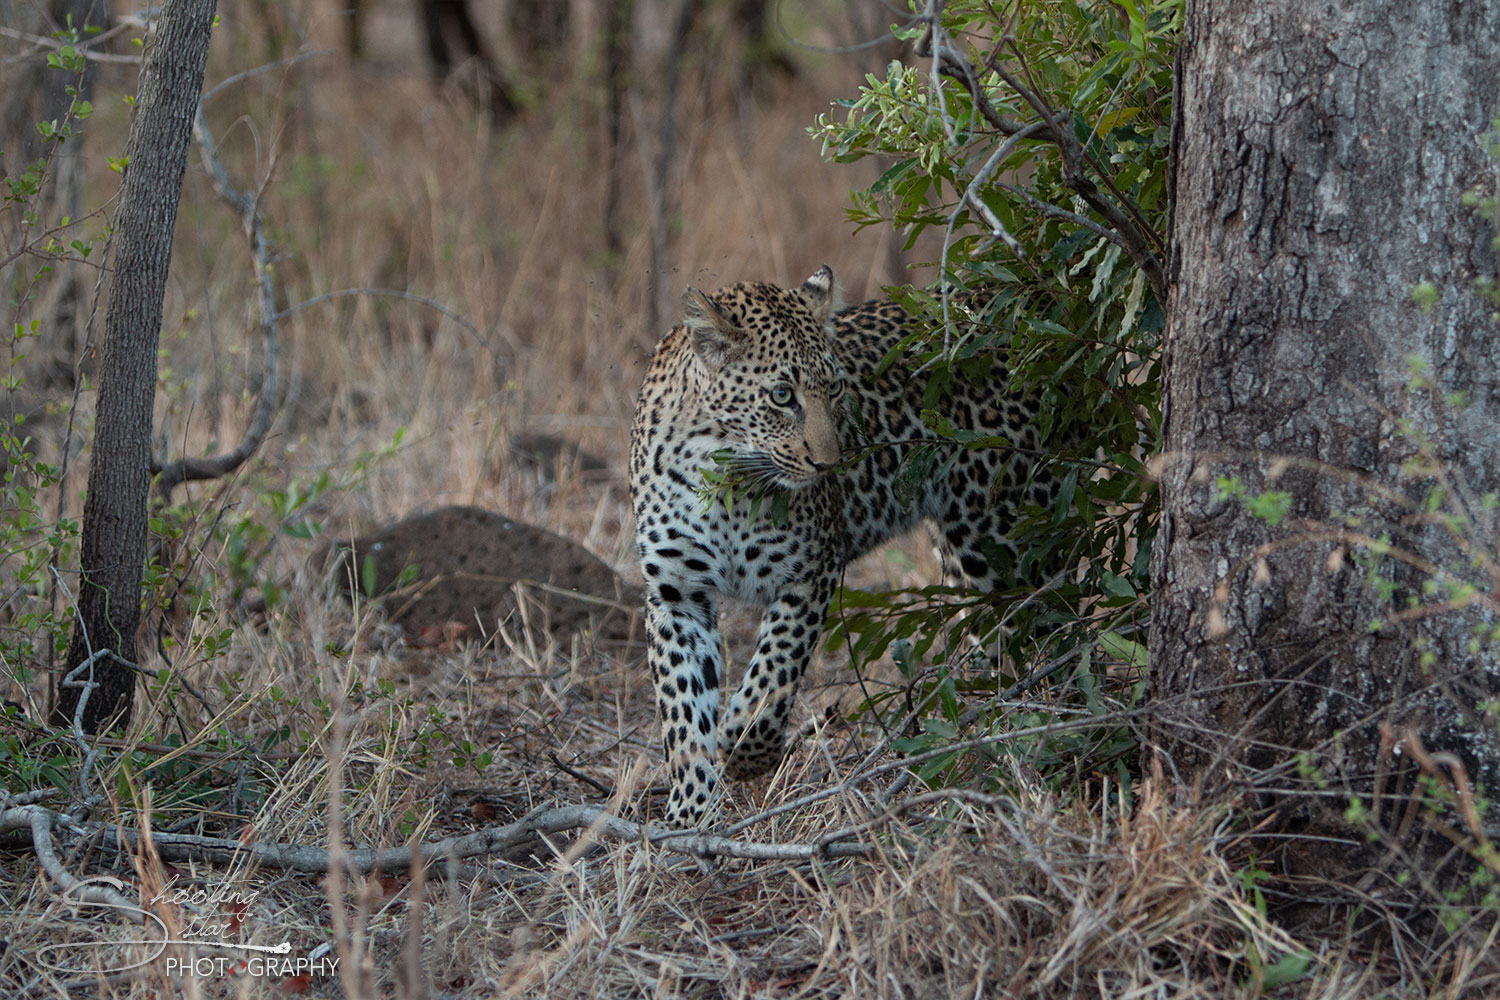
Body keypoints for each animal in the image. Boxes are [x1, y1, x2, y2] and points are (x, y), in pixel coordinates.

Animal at [628, 265, 1058, 828]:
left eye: (834, 389)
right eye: (782, 395)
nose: (830, 465)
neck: (723, 475)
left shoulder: (812, 571)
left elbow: (774, 670)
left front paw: (745, 749)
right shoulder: (676, 593)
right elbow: (682, 709)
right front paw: (690, 816)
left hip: (999, 533)